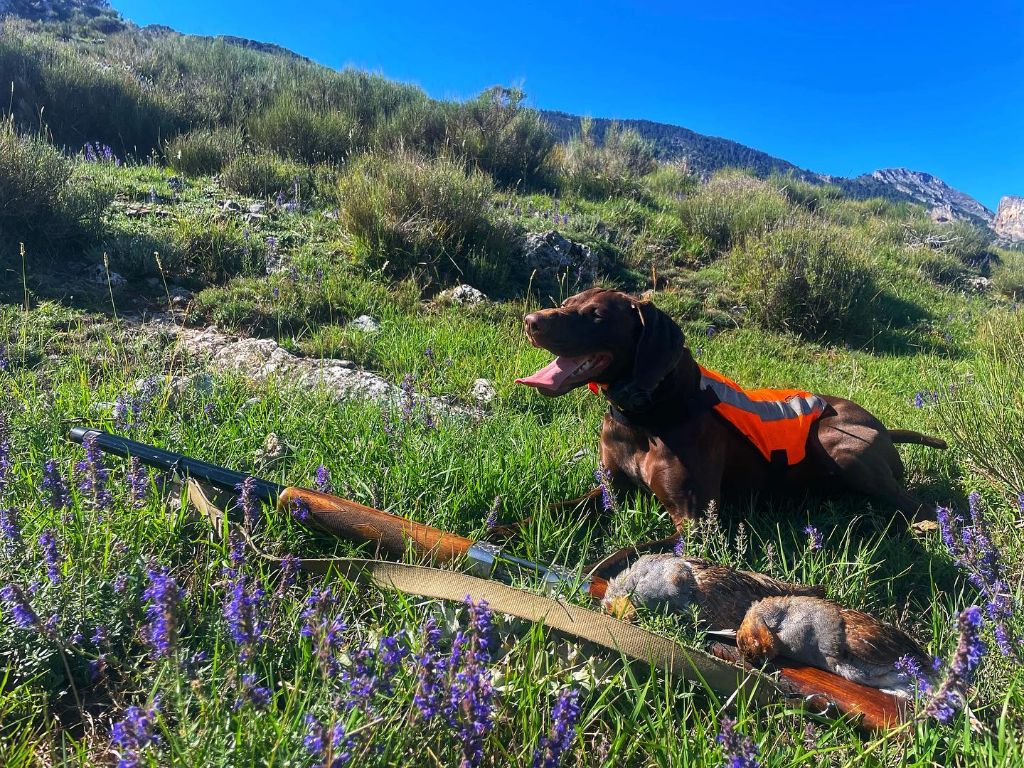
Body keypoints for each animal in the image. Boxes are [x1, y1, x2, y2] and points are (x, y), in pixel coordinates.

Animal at [516, 286, 946, 536]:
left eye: (596, 316)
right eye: (566, 304)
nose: (530, 321)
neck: (647, 414)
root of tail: (885, 428)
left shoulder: (694, 522)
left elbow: (618, 559)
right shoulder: (610, 488)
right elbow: (546, 513)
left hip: (838, 442)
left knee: (917, 504)